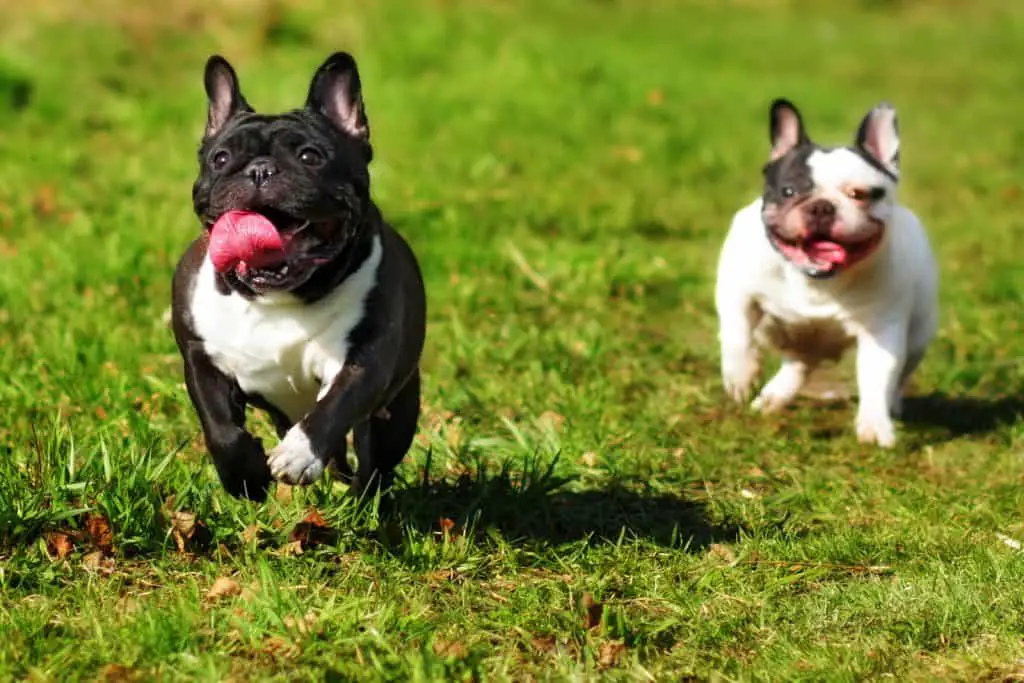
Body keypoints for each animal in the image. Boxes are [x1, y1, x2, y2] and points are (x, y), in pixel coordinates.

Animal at [171, 52, 423, 501]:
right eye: (220, 159)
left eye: (310, 157)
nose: (260, 170)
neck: (275, 299)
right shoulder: (201, 357)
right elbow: (221, 429)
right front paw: (246, 478)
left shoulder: (366, 359)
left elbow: (337, 404)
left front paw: (298, 455)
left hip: (395, 412)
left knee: (374, 462)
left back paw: (362, 500)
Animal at [716, 98, 937, 446]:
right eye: (789, 191)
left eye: (860, 194)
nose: (821, 206)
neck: (814, 281)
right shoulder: (736, 290)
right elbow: (736, 333)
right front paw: (741, 376)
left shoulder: (882, 331)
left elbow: (878, 376)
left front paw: (875, 424)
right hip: (778, 331)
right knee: (798, 361)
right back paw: (773, 396)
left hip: (918, 336)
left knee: (898, 375)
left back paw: (893, 405)